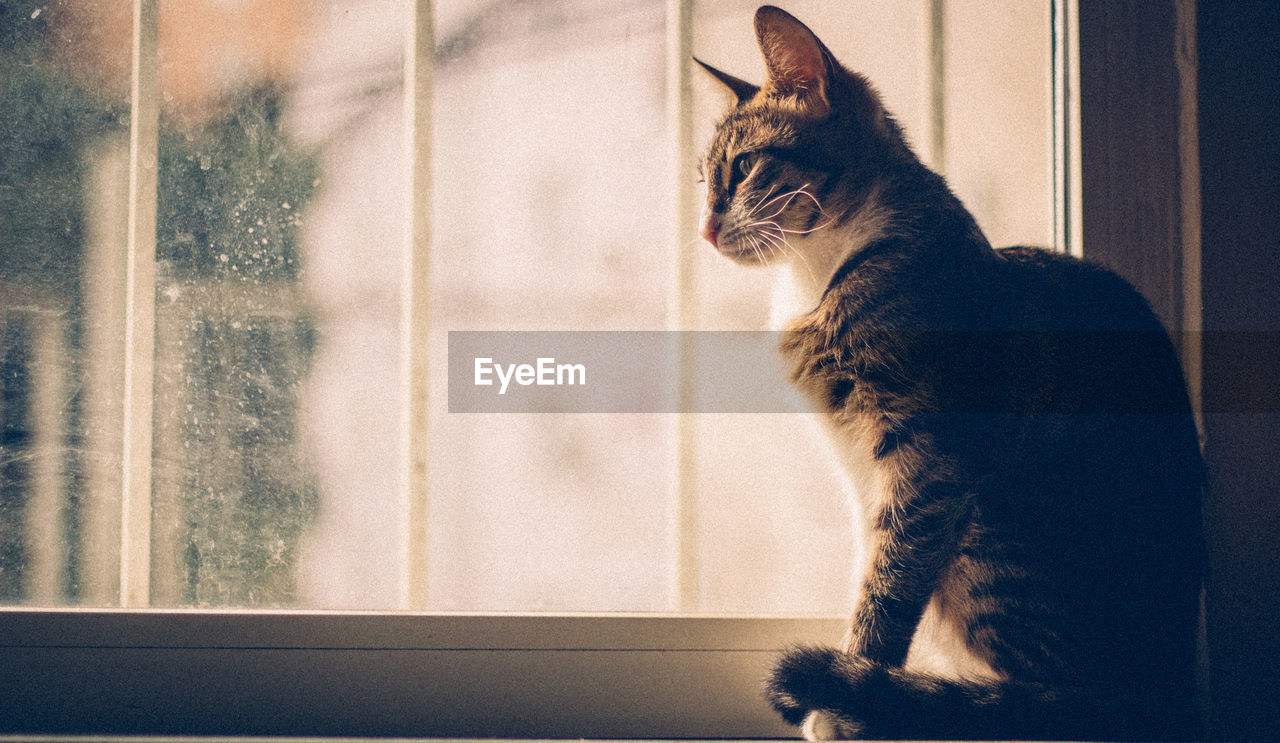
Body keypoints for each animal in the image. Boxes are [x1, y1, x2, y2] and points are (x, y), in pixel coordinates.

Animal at [696, 5, 1203, 743]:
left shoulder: (926, 463)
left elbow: (885, 593)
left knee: (1050, 699)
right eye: (702, 176)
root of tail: (1165, 687)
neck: (823, 273)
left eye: (743, 167)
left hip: (988, 531)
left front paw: (845, 707)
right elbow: (868, 573)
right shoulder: (862, 478)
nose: (704, 229)